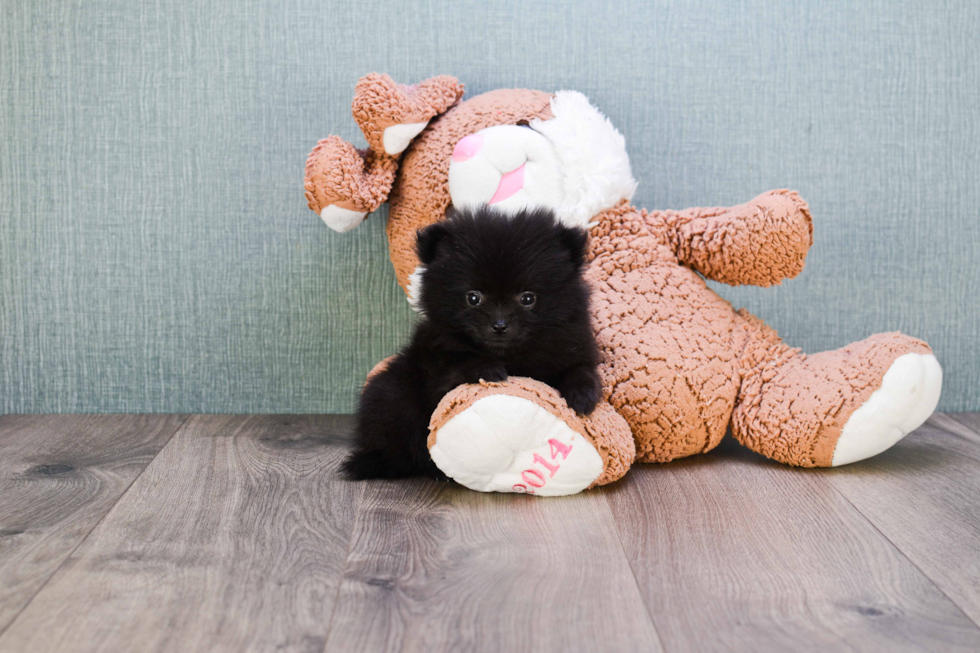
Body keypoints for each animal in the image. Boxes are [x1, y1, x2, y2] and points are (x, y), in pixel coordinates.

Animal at [344, 206, 604, 482]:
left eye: (528, 298)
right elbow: (460, 366)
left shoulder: (573, 348)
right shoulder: (436, 363)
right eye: (473, 297)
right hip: (391, 391)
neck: (509, 355)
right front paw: (488, 369)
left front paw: (582, 397)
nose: (499, 325)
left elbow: (581, 372)